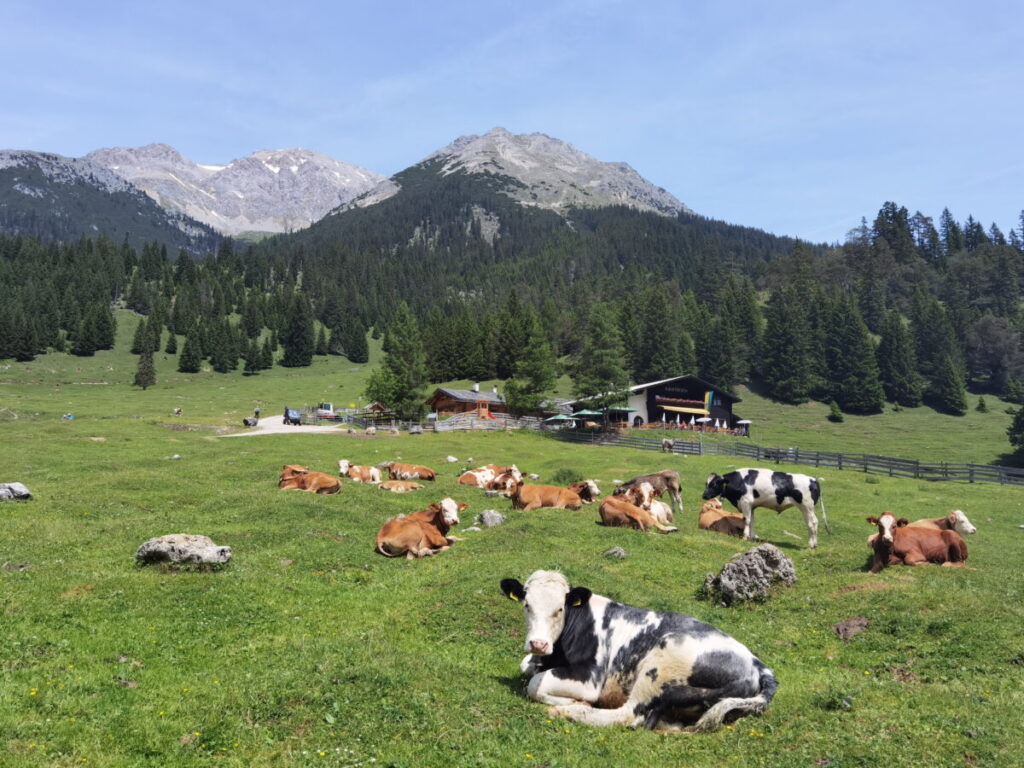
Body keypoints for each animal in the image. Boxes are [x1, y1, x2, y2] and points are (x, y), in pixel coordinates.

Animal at [501, 573, 774, 733]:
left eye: (560, 609)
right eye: (527, 605)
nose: (538, 643)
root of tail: (757, 664)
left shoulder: (590, 678)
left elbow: (535, 684)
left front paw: (572, 702)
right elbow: (526, 666)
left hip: (662, 660)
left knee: (629, 715)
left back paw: (569, 712)